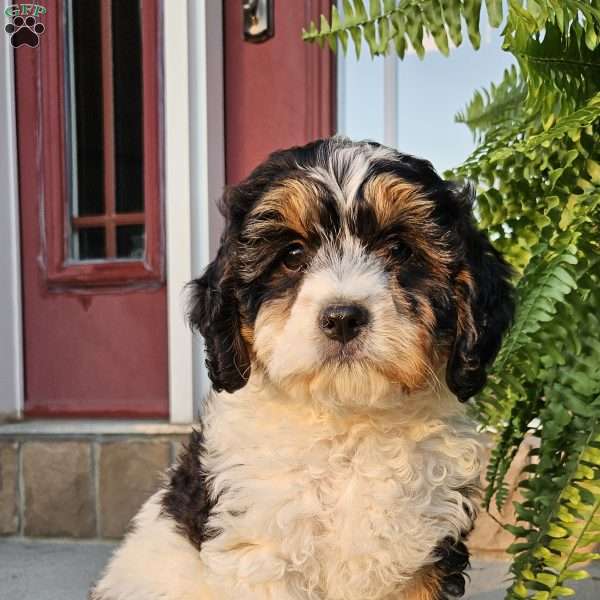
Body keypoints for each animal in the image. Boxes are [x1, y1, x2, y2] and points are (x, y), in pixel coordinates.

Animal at [91, 137, 512, 600]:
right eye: (292, 255)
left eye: (400, 249)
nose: (343, 317)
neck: (349, 426)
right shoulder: (260, 551)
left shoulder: (424, 556)